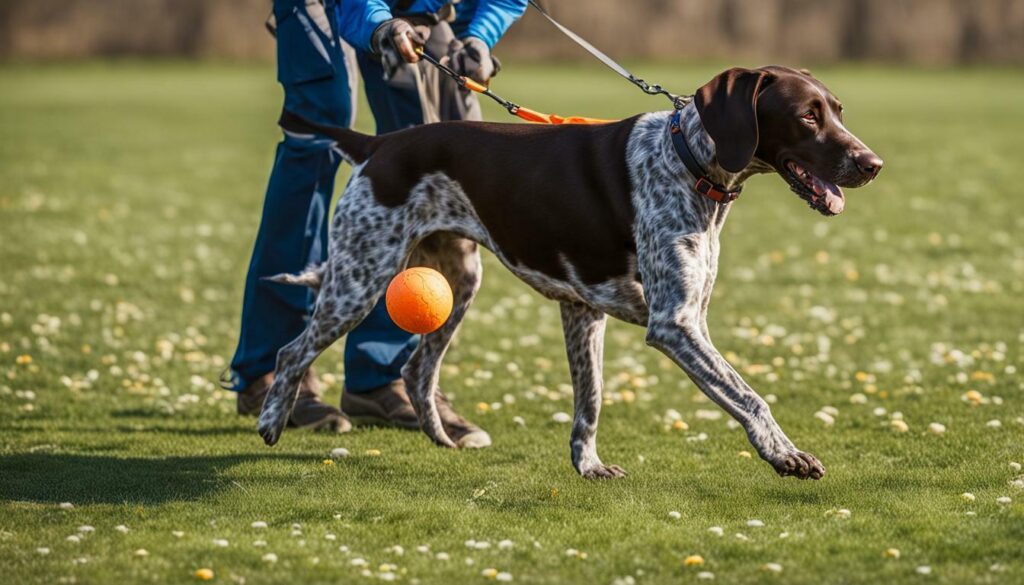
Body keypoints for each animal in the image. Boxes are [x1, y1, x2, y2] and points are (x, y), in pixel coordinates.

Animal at [253, 66, 880, 483]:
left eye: (839, 111)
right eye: (807, 116)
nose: (873, 164)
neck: (688, 159)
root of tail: (379, 143)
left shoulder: (588, 312)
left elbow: (591, 401)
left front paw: (588, 464)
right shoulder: (675, 325)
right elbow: (750, 398)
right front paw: (785, 455)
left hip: (455, 282)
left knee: (416, 368)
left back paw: (441, 438)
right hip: (359, 279)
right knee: (292, 352)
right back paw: (272, 421)